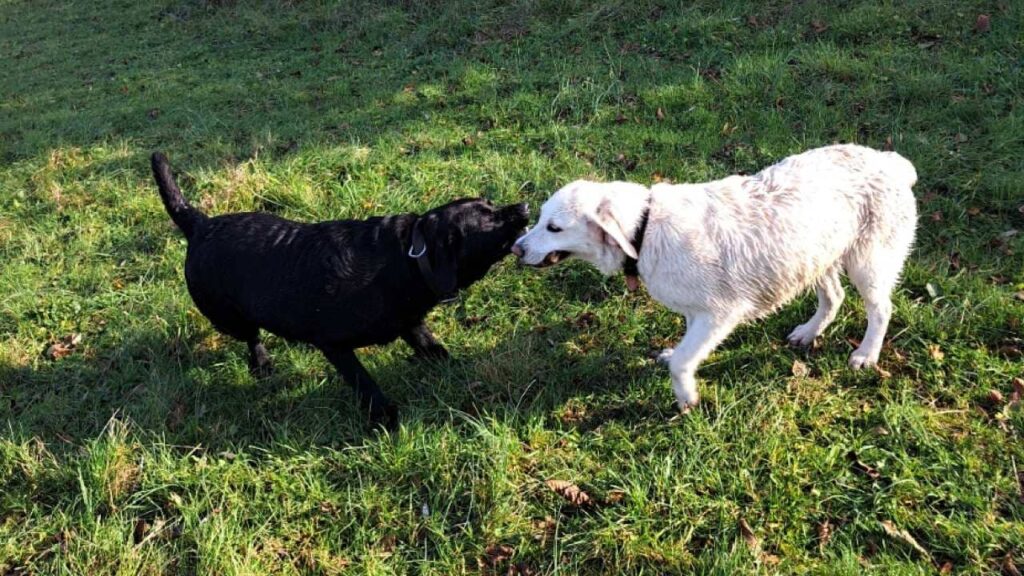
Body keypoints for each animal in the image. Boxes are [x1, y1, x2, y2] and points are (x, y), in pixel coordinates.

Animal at [151, 152, 528, 426]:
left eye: (491, 204)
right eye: (489, 219)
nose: (524, 207)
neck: (408, 256)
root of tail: (200, 224)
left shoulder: (409, 321)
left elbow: (428, 343)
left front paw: (449, 365)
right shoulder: (333, 345)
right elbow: (364, 381)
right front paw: (383, 415)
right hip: (228, 316)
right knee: (251, 337)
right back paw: (261, 363)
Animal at [512, 145, 921, 409]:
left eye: (554, 227)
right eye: (540, 219)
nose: (516, 249)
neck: (645, 229)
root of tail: (892, 162)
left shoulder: (721, 313)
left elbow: (682, 362)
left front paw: (686, 397)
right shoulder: (697, 312)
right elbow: (684, 347)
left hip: (867, 262)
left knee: (881, 309)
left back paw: (866, 354)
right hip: (813, 255)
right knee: (834, 297)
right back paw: (808, 332)